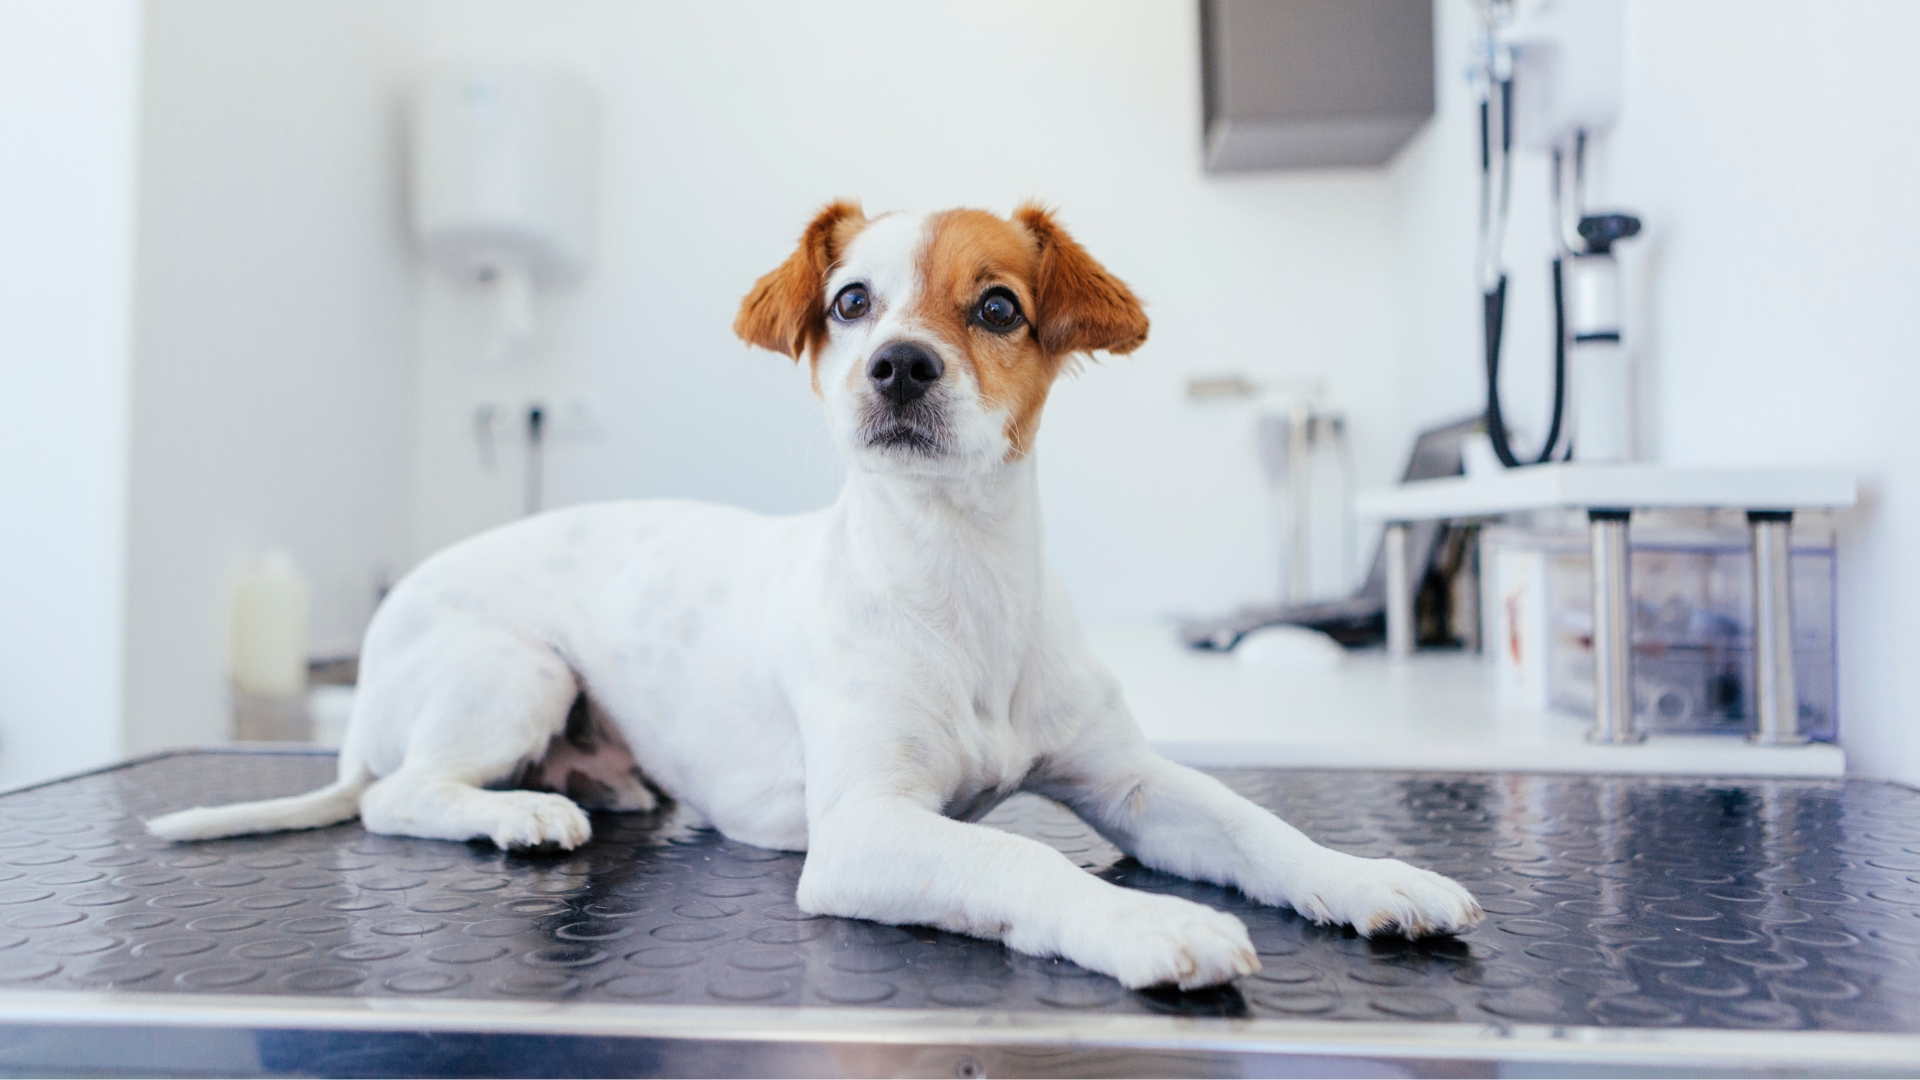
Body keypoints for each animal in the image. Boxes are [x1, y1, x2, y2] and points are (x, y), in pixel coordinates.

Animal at [153, 199, 1482, 983]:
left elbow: (1259, 829)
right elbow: (1020, 864)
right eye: (851, 302)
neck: (955, 579)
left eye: (998, 306)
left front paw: (1372, 879)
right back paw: (519, 813)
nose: (899, 364)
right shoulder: (864, 832)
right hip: (512, 670)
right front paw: (1147, 925)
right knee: (399, 797)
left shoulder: (1132, 784)